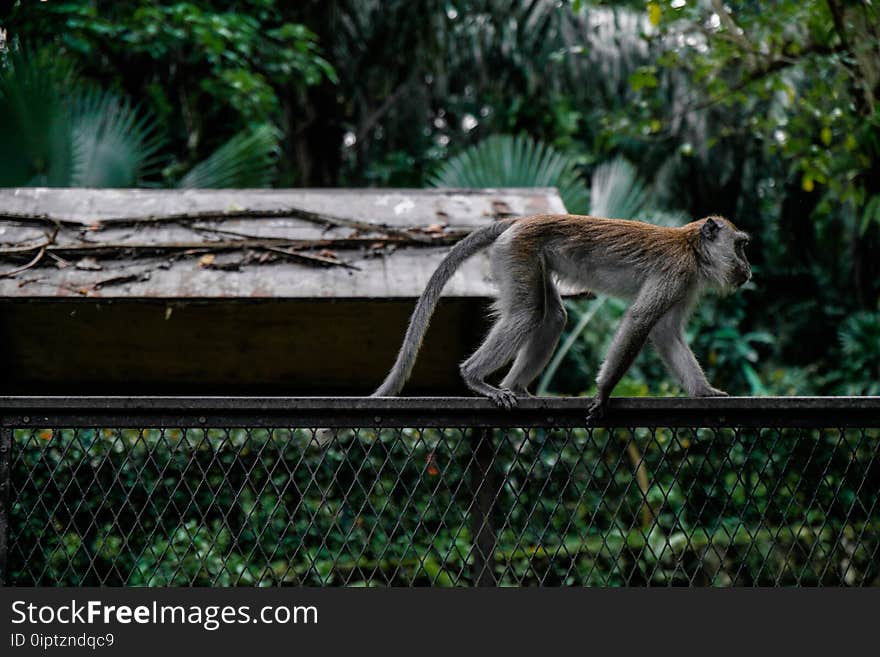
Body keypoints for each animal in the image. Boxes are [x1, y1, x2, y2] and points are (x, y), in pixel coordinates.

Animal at [372, 215, 748, 420]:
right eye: (741, 246)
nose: (748, 269)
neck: (693, 249)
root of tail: (521, 220)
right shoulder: (677, 273)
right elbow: (641, 321)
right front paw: (603, 394)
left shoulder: (686, 284)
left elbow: (666, 333)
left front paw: (704, 391)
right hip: (517, 251)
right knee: (527, 313)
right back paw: (475, 377)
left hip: (531, 258)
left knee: (552, 317)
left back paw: (515, 387)